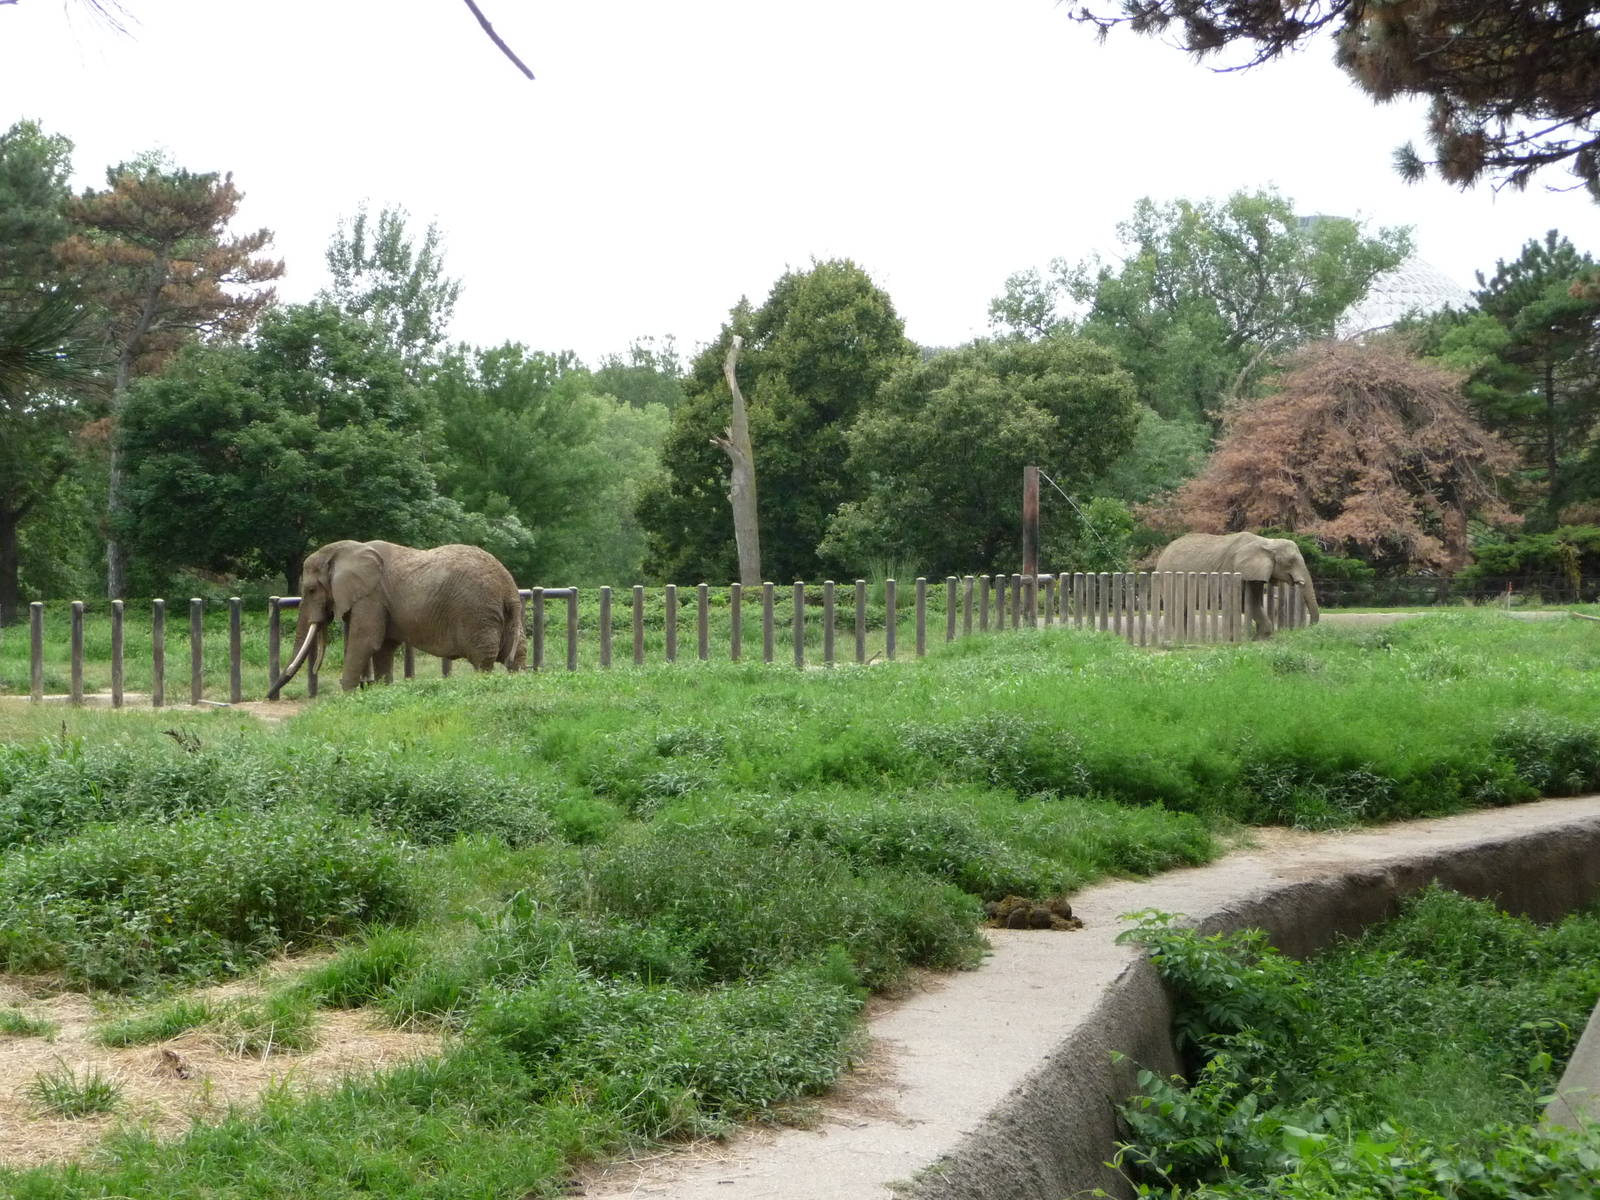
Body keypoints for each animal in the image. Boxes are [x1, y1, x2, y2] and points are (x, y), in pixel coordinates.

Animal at [267, 540, 526, 698]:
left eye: (311, 590)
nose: (268, 696)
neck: (347, 549)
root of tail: (509, 587)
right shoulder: (378, 602)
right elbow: (383, 647)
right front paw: (381, 690)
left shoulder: (371, 597)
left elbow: (364, 642)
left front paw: (347, 696)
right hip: (501, 616)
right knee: (515, 653)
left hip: (477, 613)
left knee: (483, 660)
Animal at [1154, 532, 1320, 639]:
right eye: (1291, 561)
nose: (1309, 627)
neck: (1266, 542)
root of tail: (1163, 552)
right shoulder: (1233, 568)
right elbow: (1240, 601)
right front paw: (1239, 639)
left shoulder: (1254, 573)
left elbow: (1253, 601)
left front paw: (1260, 637)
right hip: (1167, 576)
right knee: (1177, 607)